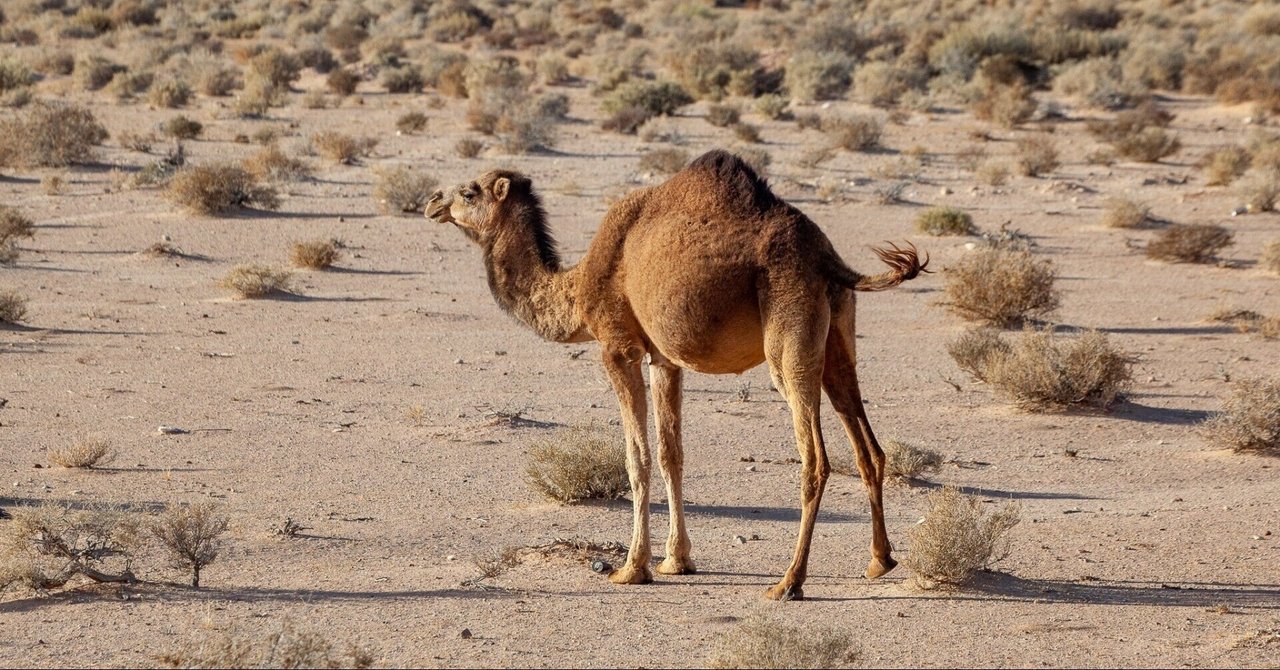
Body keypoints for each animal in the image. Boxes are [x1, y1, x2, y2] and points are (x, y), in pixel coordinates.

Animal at [424, 149, 926, 599]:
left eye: (469, 192)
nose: (431, 201)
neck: (578, 285)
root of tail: (826, 256)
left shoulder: (618, 348)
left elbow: (637, 457)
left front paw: (632, 567)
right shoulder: (663, 358)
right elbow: (671, 453)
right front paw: (676, 560)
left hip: (789, 335)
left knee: (815, 458)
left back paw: (789, 583)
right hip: (838, 336)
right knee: (867, 446)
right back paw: (879, 560)